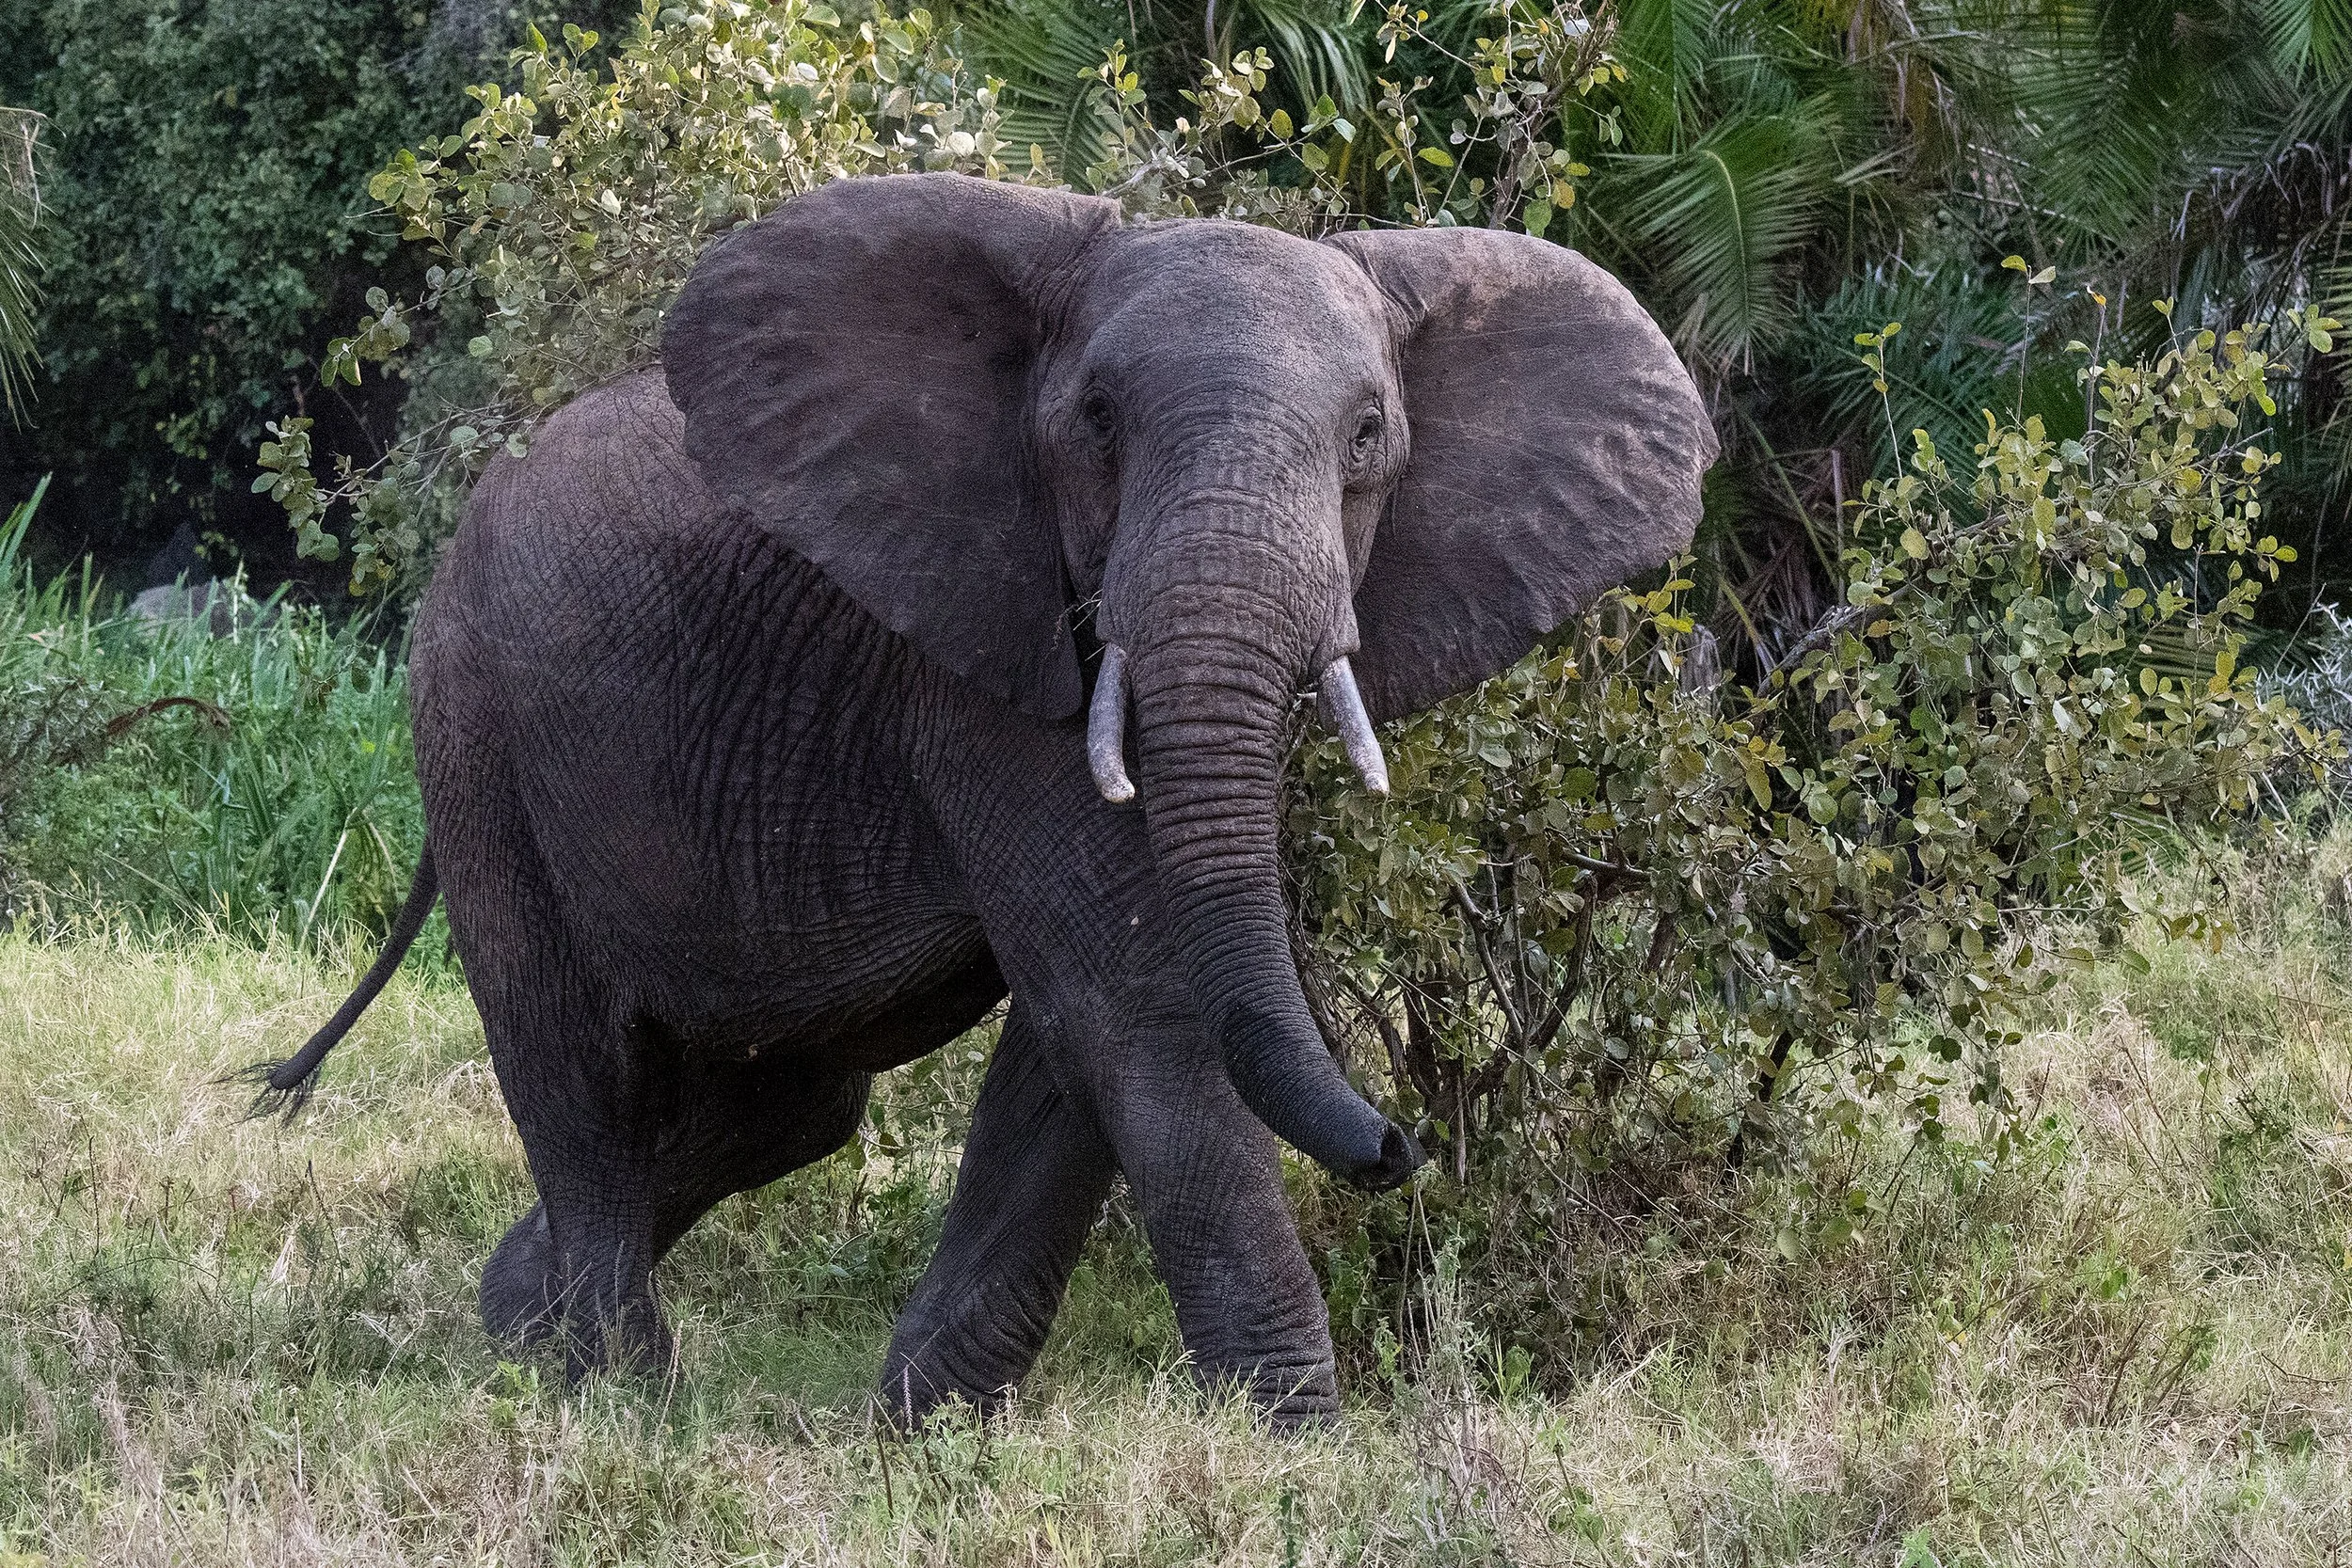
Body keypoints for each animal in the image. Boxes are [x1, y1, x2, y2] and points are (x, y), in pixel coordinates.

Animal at [254, 172, 1713, 1424]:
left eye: (1369, 441)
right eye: (1097, 425)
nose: (1402, 1145)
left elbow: (1079, 1043)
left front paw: (918, 1423)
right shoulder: (980, 666)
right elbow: (1139, 1002)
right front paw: (1302, 1447)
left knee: (793, 1101)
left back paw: (521, 1314)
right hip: (474, 720)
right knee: (574, 1059)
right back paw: (618, 1394)